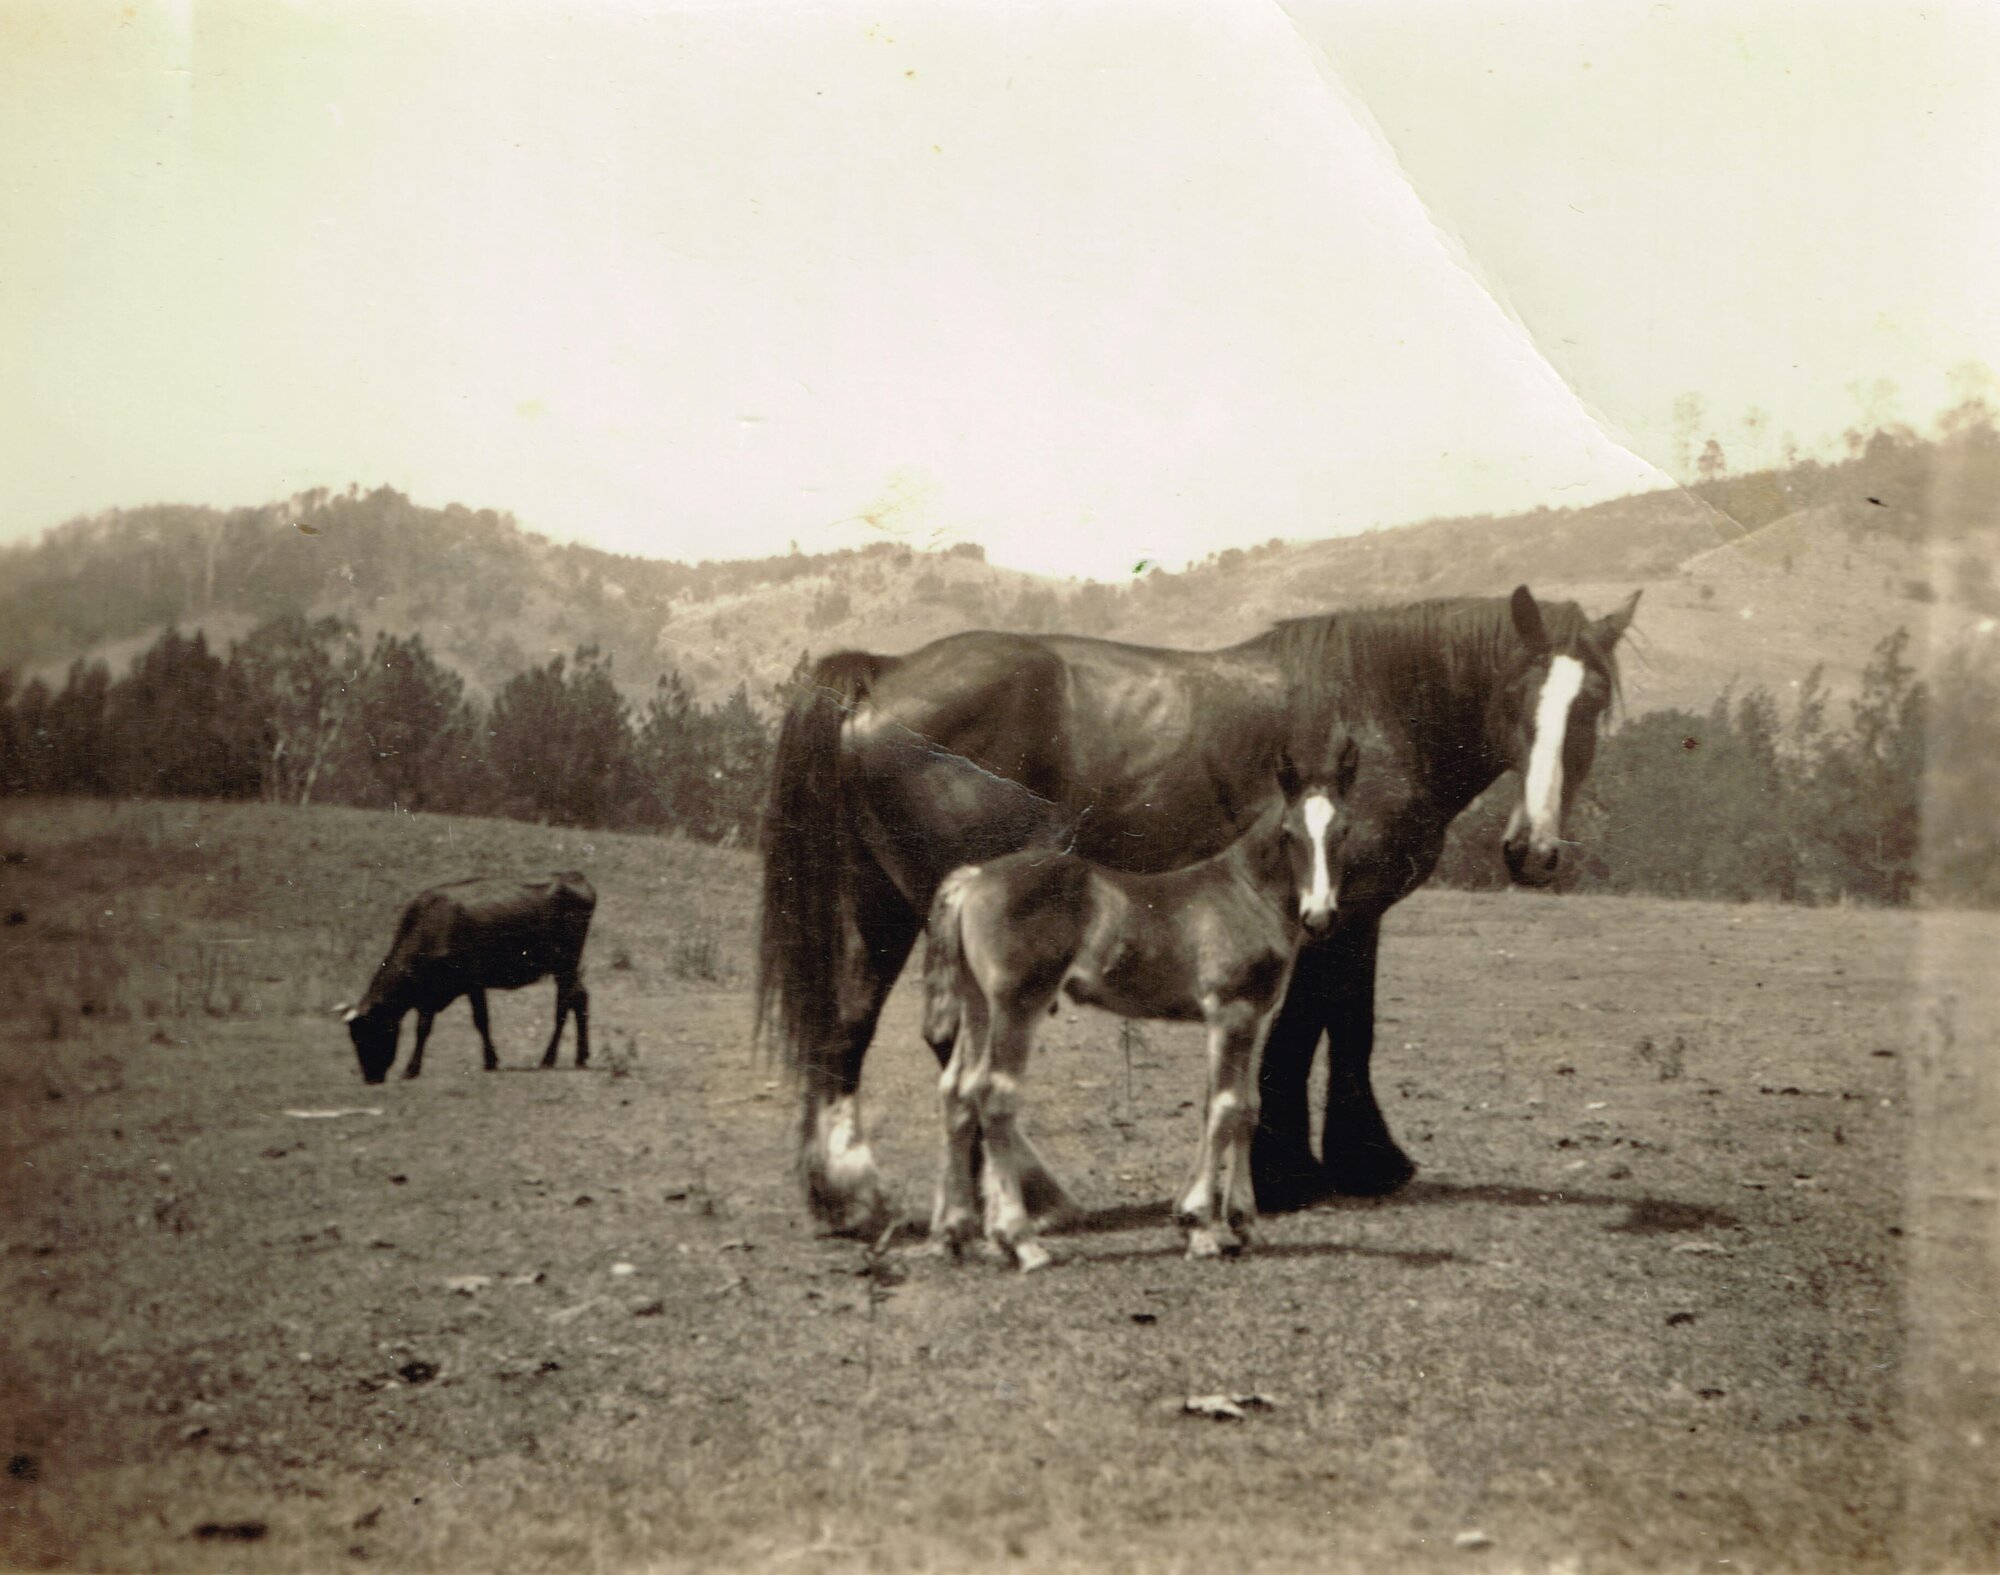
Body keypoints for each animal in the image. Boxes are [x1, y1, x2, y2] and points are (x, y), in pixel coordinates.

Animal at [920, 740, 1357, 1269]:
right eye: (1290, 833)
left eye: (1342, 830)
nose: (1320, 917)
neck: (1244, 893)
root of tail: (973, 877)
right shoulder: (1228, 1013)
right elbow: (1224, 1108)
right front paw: (1200, 1226)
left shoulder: (1255, 1015)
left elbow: (1247, 1107)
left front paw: (1242, 1224)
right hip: (1017, 1006)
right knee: (994, 1096)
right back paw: (1020, 1240)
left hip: (977, 1006)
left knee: (956, 1092)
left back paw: (952, 1233)